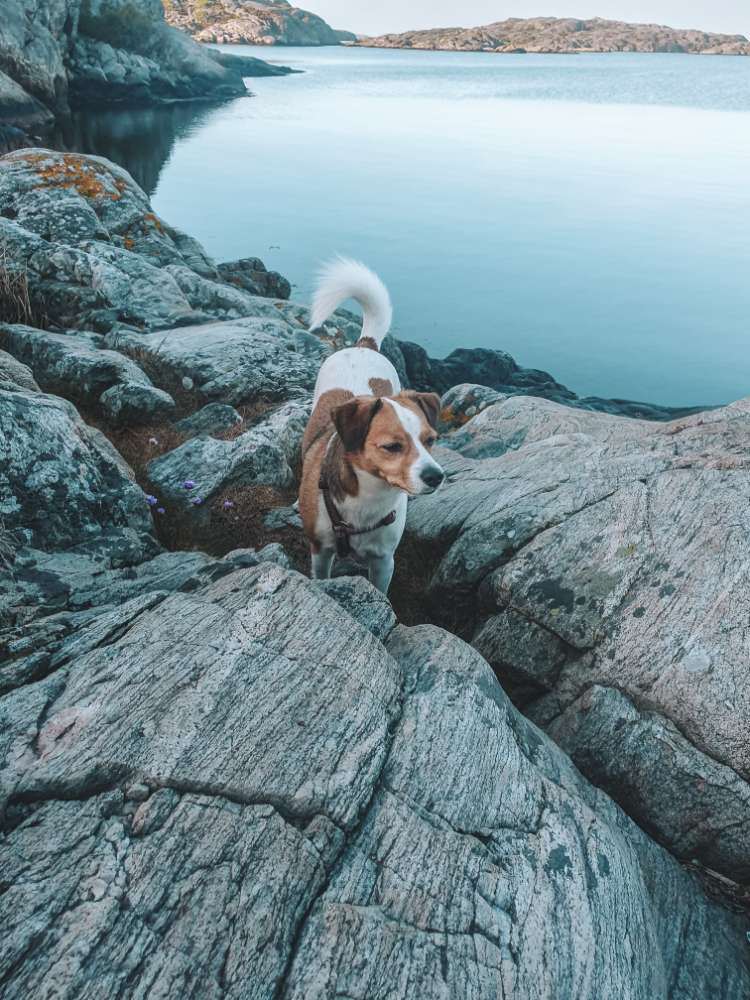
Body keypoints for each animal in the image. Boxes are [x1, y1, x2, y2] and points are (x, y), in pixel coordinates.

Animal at [302, 258, 446, 592]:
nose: (436, 476)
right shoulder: (320, 550)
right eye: (392, 447)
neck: (370, 498)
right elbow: (321, 575)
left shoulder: (383, 562)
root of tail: (364, 345)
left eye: (430, 440)